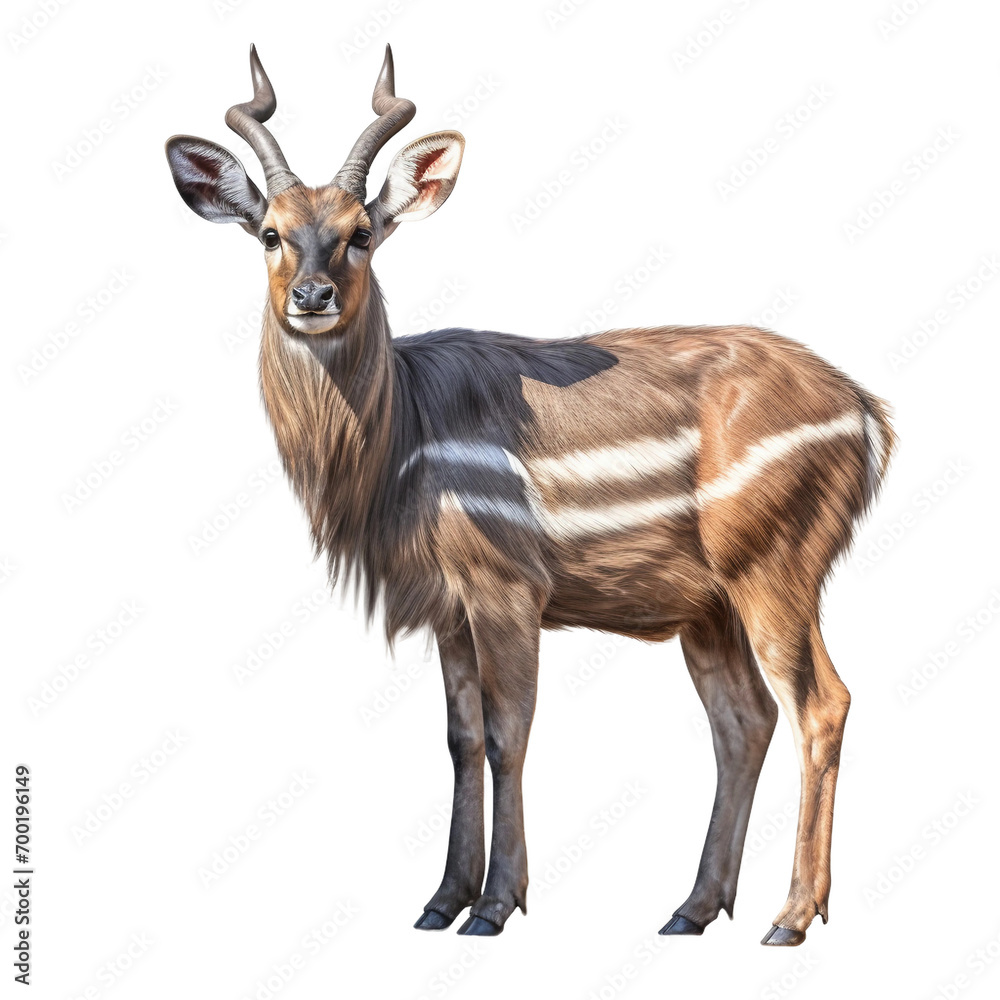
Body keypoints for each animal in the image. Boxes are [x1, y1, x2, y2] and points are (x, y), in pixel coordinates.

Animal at [166, 45, 893, 945]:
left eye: (360, 233)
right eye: (270, 233)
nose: (311, 296)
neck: (397, 441)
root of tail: (868, 414)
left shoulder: (506, 584)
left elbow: (509, 733)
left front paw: (493, 906)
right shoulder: (447, 606)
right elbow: (460, 738)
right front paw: (440, 900)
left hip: (775, 565)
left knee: (820, 704)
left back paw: (790, 917)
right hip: (710, 605)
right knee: (744, 719)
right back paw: (690, 909)